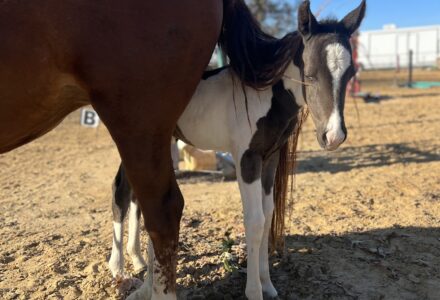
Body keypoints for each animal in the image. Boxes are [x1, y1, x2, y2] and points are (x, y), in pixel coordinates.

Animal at [111, 1, 368, 298]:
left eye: (350, 74)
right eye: (310, 74)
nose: (334, 136)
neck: (264, 93)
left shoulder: (270, 158)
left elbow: (268, 216)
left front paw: (268, 284)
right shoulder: (247, 159)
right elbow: (255, 221)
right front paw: (254, 291)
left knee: (140, 201)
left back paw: (141, 269)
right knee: (121, 193)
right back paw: (119, 269)